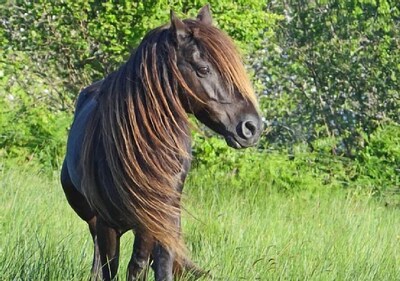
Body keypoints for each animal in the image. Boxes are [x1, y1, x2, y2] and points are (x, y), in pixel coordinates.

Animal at [60, 4, 262, 280]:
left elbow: (147, 265)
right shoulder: (107, 225)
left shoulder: (159, 223)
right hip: (94, 220)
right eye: (203, 69)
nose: (252, 127)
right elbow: (113, 267)